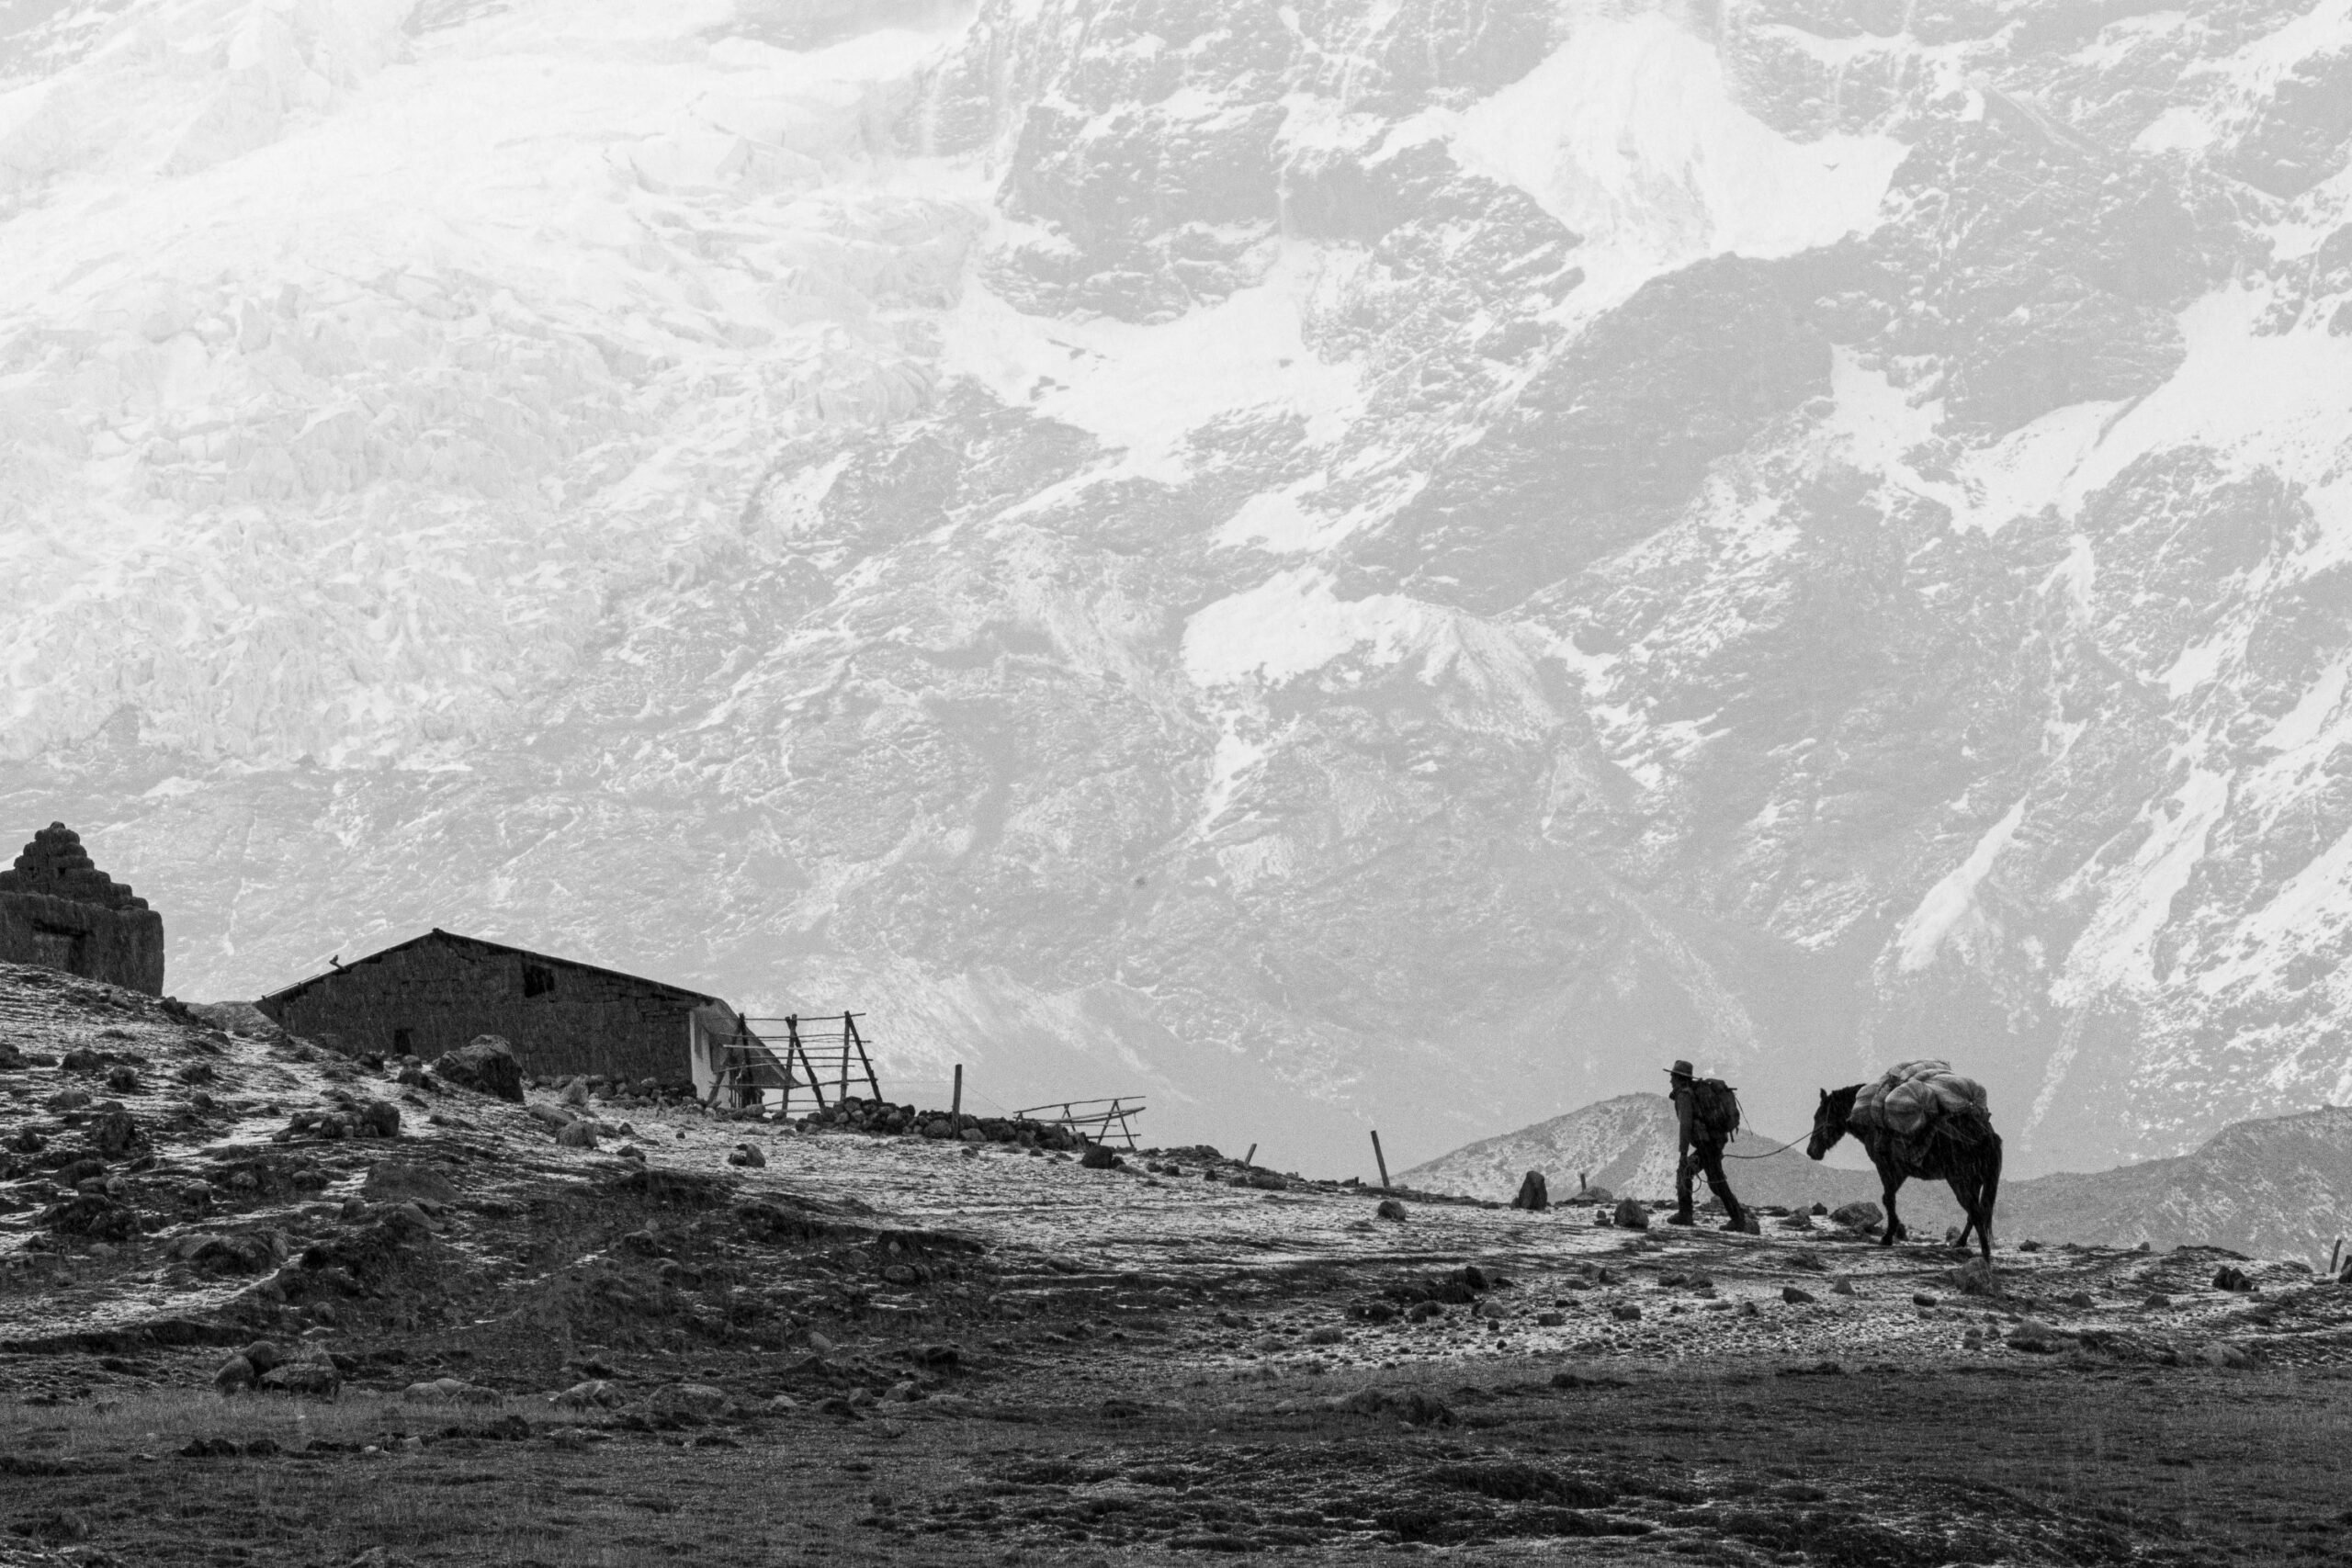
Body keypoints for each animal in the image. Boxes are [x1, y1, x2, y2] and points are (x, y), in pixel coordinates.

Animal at [1796, 1086, 2004, 1269]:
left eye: (1819, 1116)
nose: (1811, 1151)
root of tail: (1987, 1133)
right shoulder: (1899, 1172)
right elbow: (1890, 1198)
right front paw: (1894, 1232)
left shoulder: (1886, 1167)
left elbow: (1887, 1199)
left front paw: (1888, 1237)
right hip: (1974, 1181)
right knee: (1976, 1212)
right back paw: (1961, 1243)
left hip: (1959, 1180)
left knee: (1975, 1212)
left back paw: (1985, 1256)